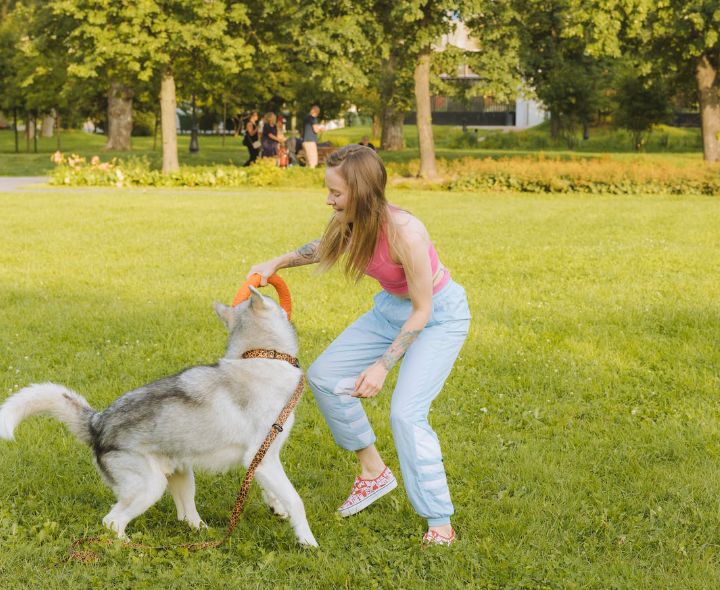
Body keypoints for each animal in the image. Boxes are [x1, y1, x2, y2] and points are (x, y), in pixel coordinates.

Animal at [0, 290, 318, 548]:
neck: (261, 356)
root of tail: (97, 422)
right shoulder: (263, 456)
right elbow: (296, 500)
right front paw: (307, 541)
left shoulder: (262, 459)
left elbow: (271, 489)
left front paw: (277, 508)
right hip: (149, 488)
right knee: (112, 521)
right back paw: (131, 547)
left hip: (182, 475)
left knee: (186, 516)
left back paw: (204, 536)